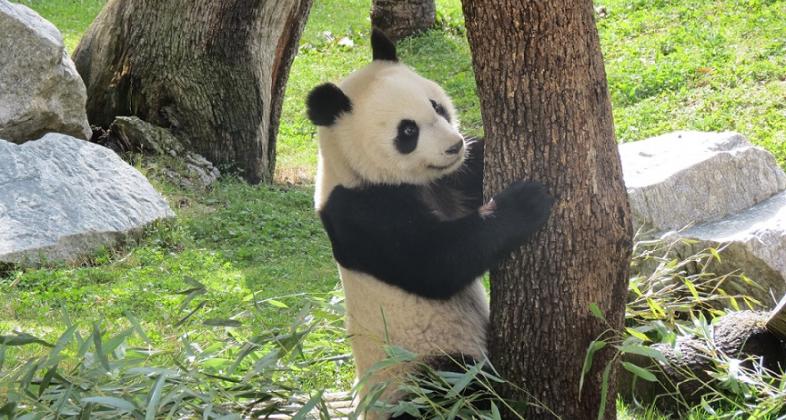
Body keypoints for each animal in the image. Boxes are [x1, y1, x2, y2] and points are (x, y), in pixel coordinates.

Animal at [304, 28, 552, 416]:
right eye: (407, 131)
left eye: (436, 106)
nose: (454, 146)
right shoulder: (361, 212)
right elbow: (436, 262)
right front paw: (526, 201)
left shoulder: (450, 180)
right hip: (418, 367)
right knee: (457, 387)